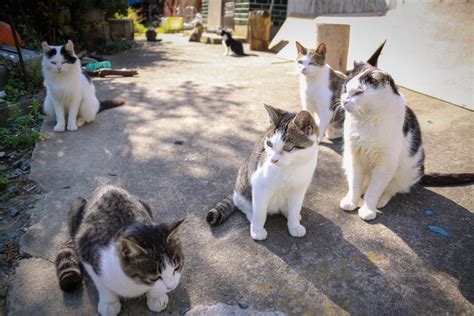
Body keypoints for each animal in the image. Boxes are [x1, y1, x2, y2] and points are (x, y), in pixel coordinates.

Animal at [53, 185, 183, 316]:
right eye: (154, 277)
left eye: (177, 267)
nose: (172, 286)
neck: (134, 283)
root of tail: (107, 186)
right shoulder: (86, 248)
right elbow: (101, 283)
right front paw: (109, 303)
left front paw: (156, 296)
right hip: (76, 207)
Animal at [206, 103, 318, 239]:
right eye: (269, 144)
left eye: (288, 148)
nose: (273, 160)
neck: (290, 168)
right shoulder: (259, 185)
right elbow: (260, 212)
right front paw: (257, 230)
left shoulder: (299, 188)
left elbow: (295, 208)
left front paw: (294, 225)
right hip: (243, 187)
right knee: (242, 204)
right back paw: (251, 216)